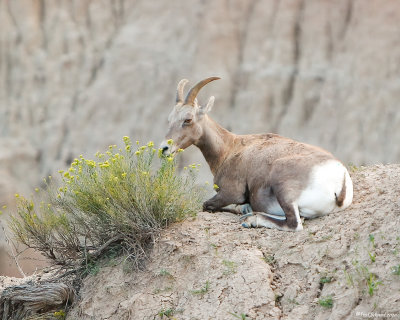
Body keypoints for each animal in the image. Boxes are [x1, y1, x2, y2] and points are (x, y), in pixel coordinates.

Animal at [160, 77, 354, 232]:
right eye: (169, 119)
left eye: (188, 119)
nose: (164, 148)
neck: (230, 149)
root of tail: (340, 180)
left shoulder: (231, 193)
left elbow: (207, 205)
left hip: (283, 188)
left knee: (294, 223)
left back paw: (251, 220)